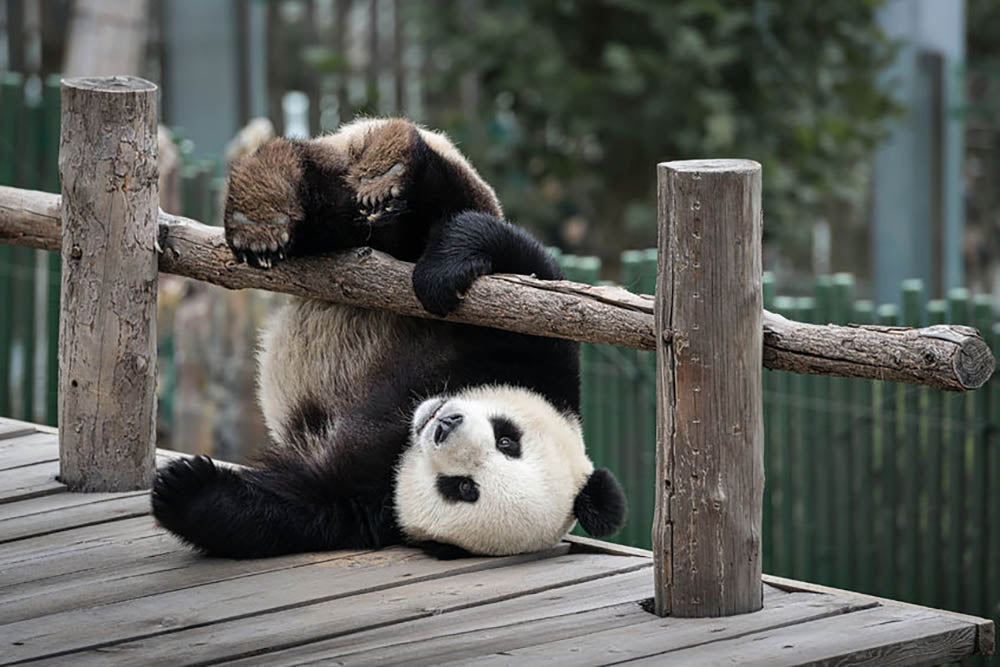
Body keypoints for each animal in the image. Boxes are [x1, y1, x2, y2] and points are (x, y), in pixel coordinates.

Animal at [151, 118, 627, 559]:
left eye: (463, 488)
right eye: (508, 439)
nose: (444, 424)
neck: (406, 426)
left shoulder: (371, 505)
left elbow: (293, 509)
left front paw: (183, 489)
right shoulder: (541, 358)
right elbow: (520, 265)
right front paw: (441, 275)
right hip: (413, 194)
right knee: (413, 205)